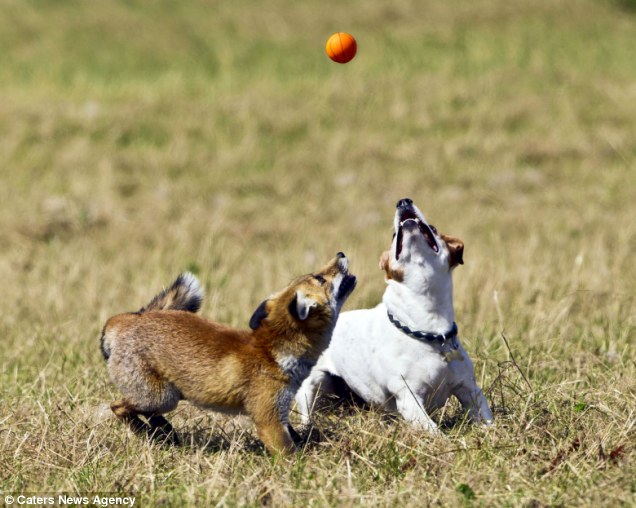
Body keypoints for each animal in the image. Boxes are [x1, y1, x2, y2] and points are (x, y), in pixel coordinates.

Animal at [296, 198, 494, 432]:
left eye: (433, 228)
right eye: (393, 237)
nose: (404, 201)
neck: (428, 328)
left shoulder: (469, 390)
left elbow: (485, 418)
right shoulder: (409, 399)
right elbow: (434, 431)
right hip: (312, 384)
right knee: (306, 409)